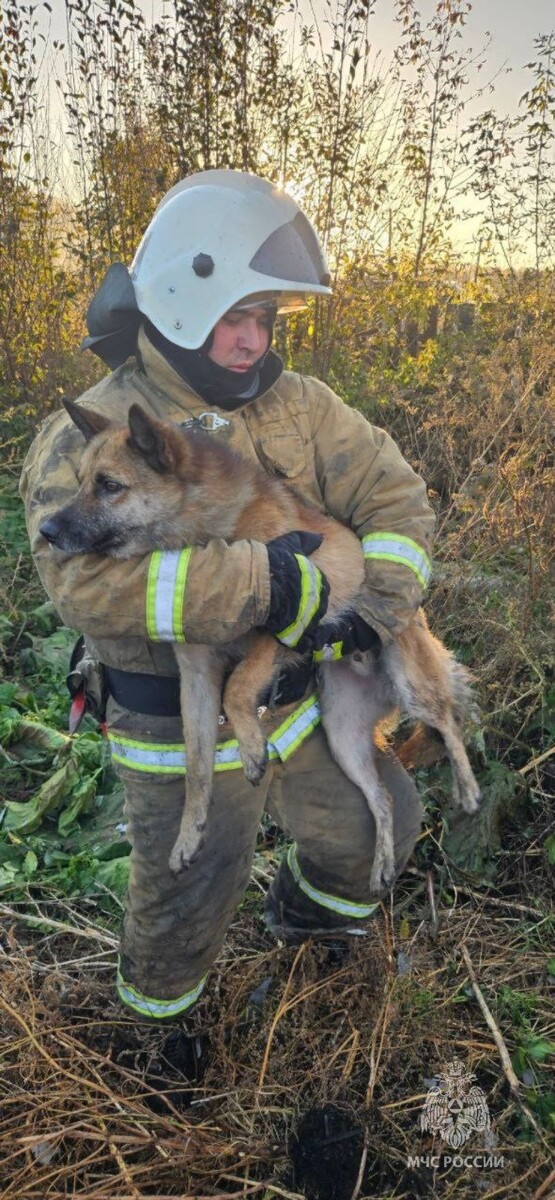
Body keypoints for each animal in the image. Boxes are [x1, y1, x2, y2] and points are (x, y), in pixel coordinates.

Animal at [40, 400, 480, 892]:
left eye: (110, 485)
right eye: (79, 481)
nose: (46, 530)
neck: (212, 535)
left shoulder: (285, 625)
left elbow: (238, 690)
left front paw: (251, 748)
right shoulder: (196, 679)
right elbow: (196, 768)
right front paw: (188, 836)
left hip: (413, 687)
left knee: (448, 722)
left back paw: (467, 789)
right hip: (343, 737)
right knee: (381, 798)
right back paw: (382, 863)